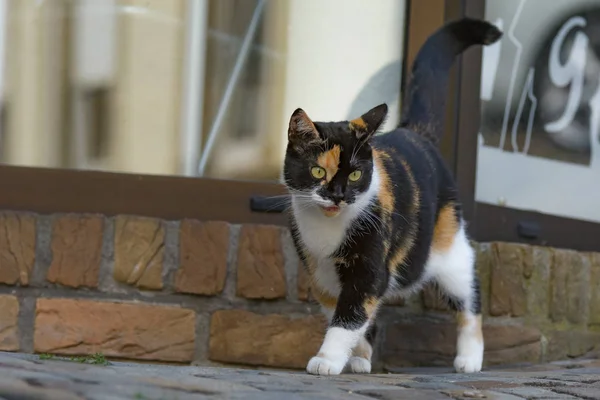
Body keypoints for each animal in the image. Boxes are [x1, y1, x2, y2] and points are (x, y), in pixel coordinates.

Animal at [282, 18, 502, 376]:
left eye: (355, 175)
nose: (338, 196)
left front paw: (327, 360)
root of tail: (414, 132)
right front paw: (356, 356)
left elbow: (349, 315)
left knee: (469, 297)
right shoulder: (321, 275)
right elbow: (348, 314)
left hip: (451, 249)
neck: (328, 229)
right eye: (317, 172)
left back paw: (470, 359)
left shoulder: (369, 267)